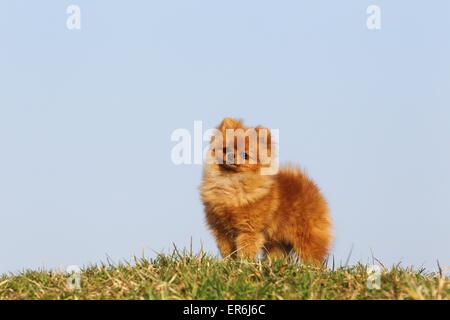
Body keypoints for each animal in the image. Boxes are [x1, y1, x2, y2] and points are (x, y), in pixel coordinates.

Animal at [199, 117, 332, 264]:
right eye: (224, 149)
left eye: (245, 155)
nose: (231, 155)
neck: (231, 184)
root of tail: (308, 184)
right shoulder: (221, 229)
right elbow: (227, 250)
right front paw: (230, 262)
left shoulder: (249, 230)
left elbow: (246, 248)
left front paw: (244, 263)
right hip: (277, 243)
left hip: (307, 237)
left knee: (313, 256)